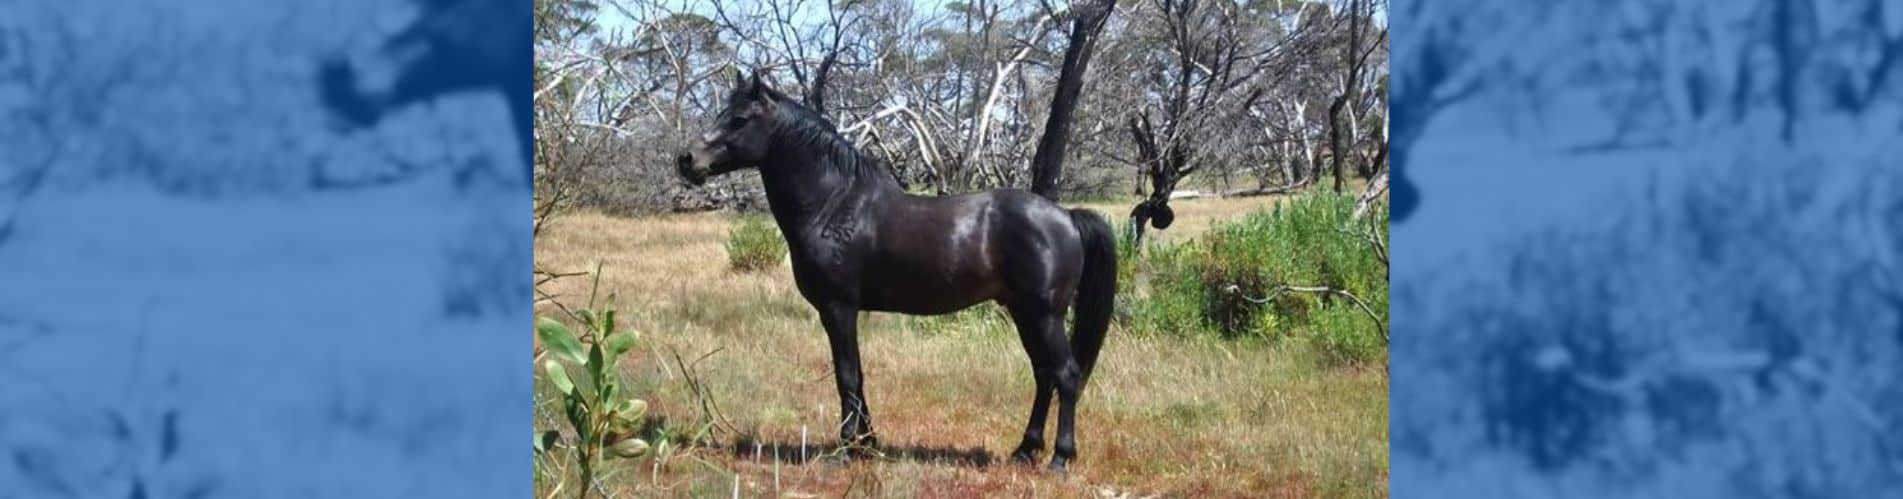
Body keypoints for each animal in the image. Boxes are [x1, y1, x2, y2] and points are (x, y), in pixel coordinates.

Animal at [676, 70, 1118, 472]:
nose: (687, 160)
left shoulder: (838, 308)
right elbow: (857, 376)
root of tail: (1066, 216)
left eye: (739, 119)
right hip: (1025, 314)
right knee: (1044, 375)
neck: (834, 204)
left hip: (1044, 315)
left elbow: (846, 376)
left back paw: (1059, 459)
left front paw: (844, 450)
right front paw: (868, 445)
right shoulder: (842, 312)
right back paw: (1025, 451)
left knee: (1066, 375)